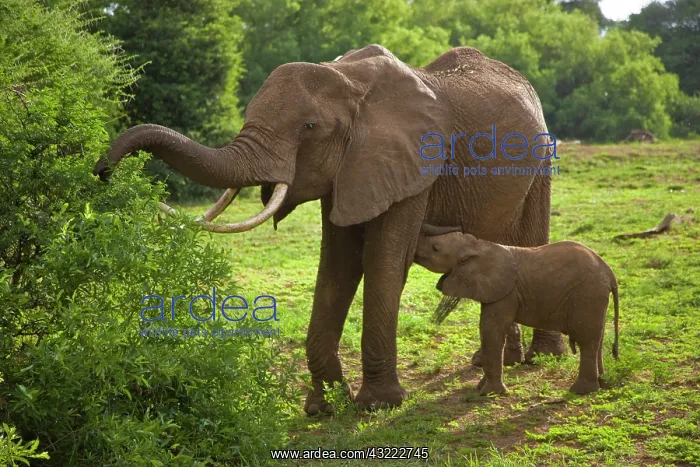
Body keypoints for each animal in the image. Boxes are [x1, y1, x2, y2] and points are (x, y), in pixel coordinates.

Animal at [92, 44, 566, 414]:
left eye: (309, 127)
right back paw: (488, 363)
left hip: (542, 155)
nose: (102, 171)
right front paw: (324, 406)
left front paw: (378, 404)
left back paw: (542, 359)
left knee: (532, 241)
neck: (350, 82)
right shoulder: (349, 171)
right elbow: (337, 265)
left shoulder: (414, 166)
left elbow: (382, 262)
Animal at [414, 225, 620, 395]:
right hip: (594, 296)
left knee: (587, 339)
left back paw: (580, 391)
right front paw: (481, 388)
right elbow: (491, 333)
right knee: (597, 338)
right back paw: (602, 384)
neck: (477, 244)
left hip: (588, 293)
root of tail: (610, 273)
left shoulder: (506, 291)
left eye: (435, 248)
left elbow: (491, 331)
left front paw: (489, 394)